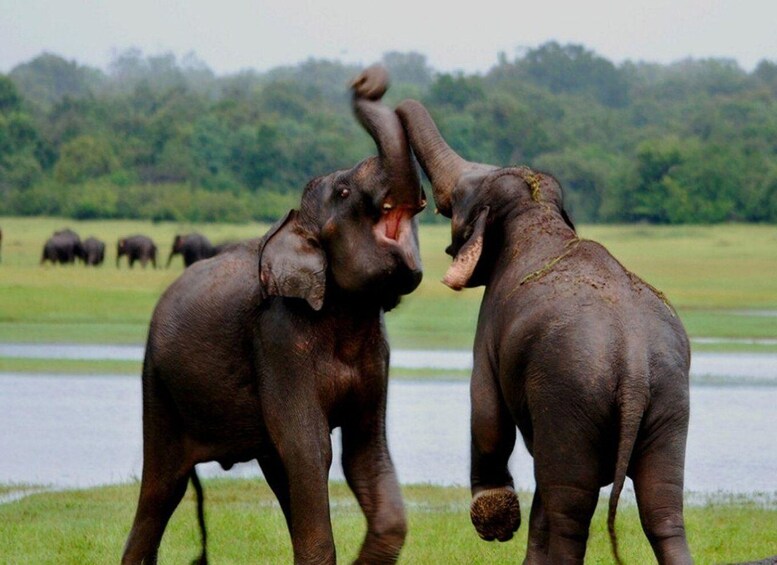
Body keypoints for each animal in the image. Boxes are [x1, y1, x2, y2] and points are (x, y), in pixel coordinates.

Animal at [121, 64, 424, 560]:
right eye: (344, 191)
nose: (365, 79)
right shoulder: (279, 339)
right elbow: (310, 447)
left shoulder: (377, 351)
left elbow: (364, 451)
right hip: (157, 384)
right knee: (162, 488)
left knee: (276, 471)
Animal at [398, 101, 688, 564]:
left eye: (459, 200)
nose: (367, 87)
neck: (539, 214)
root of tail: (633, 363)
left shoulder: (490, 323)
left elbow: (487, 411)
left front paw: (495, 522)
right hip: (670, 398)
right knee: (661, 508)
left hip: (570, 395)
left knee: (570, 505)